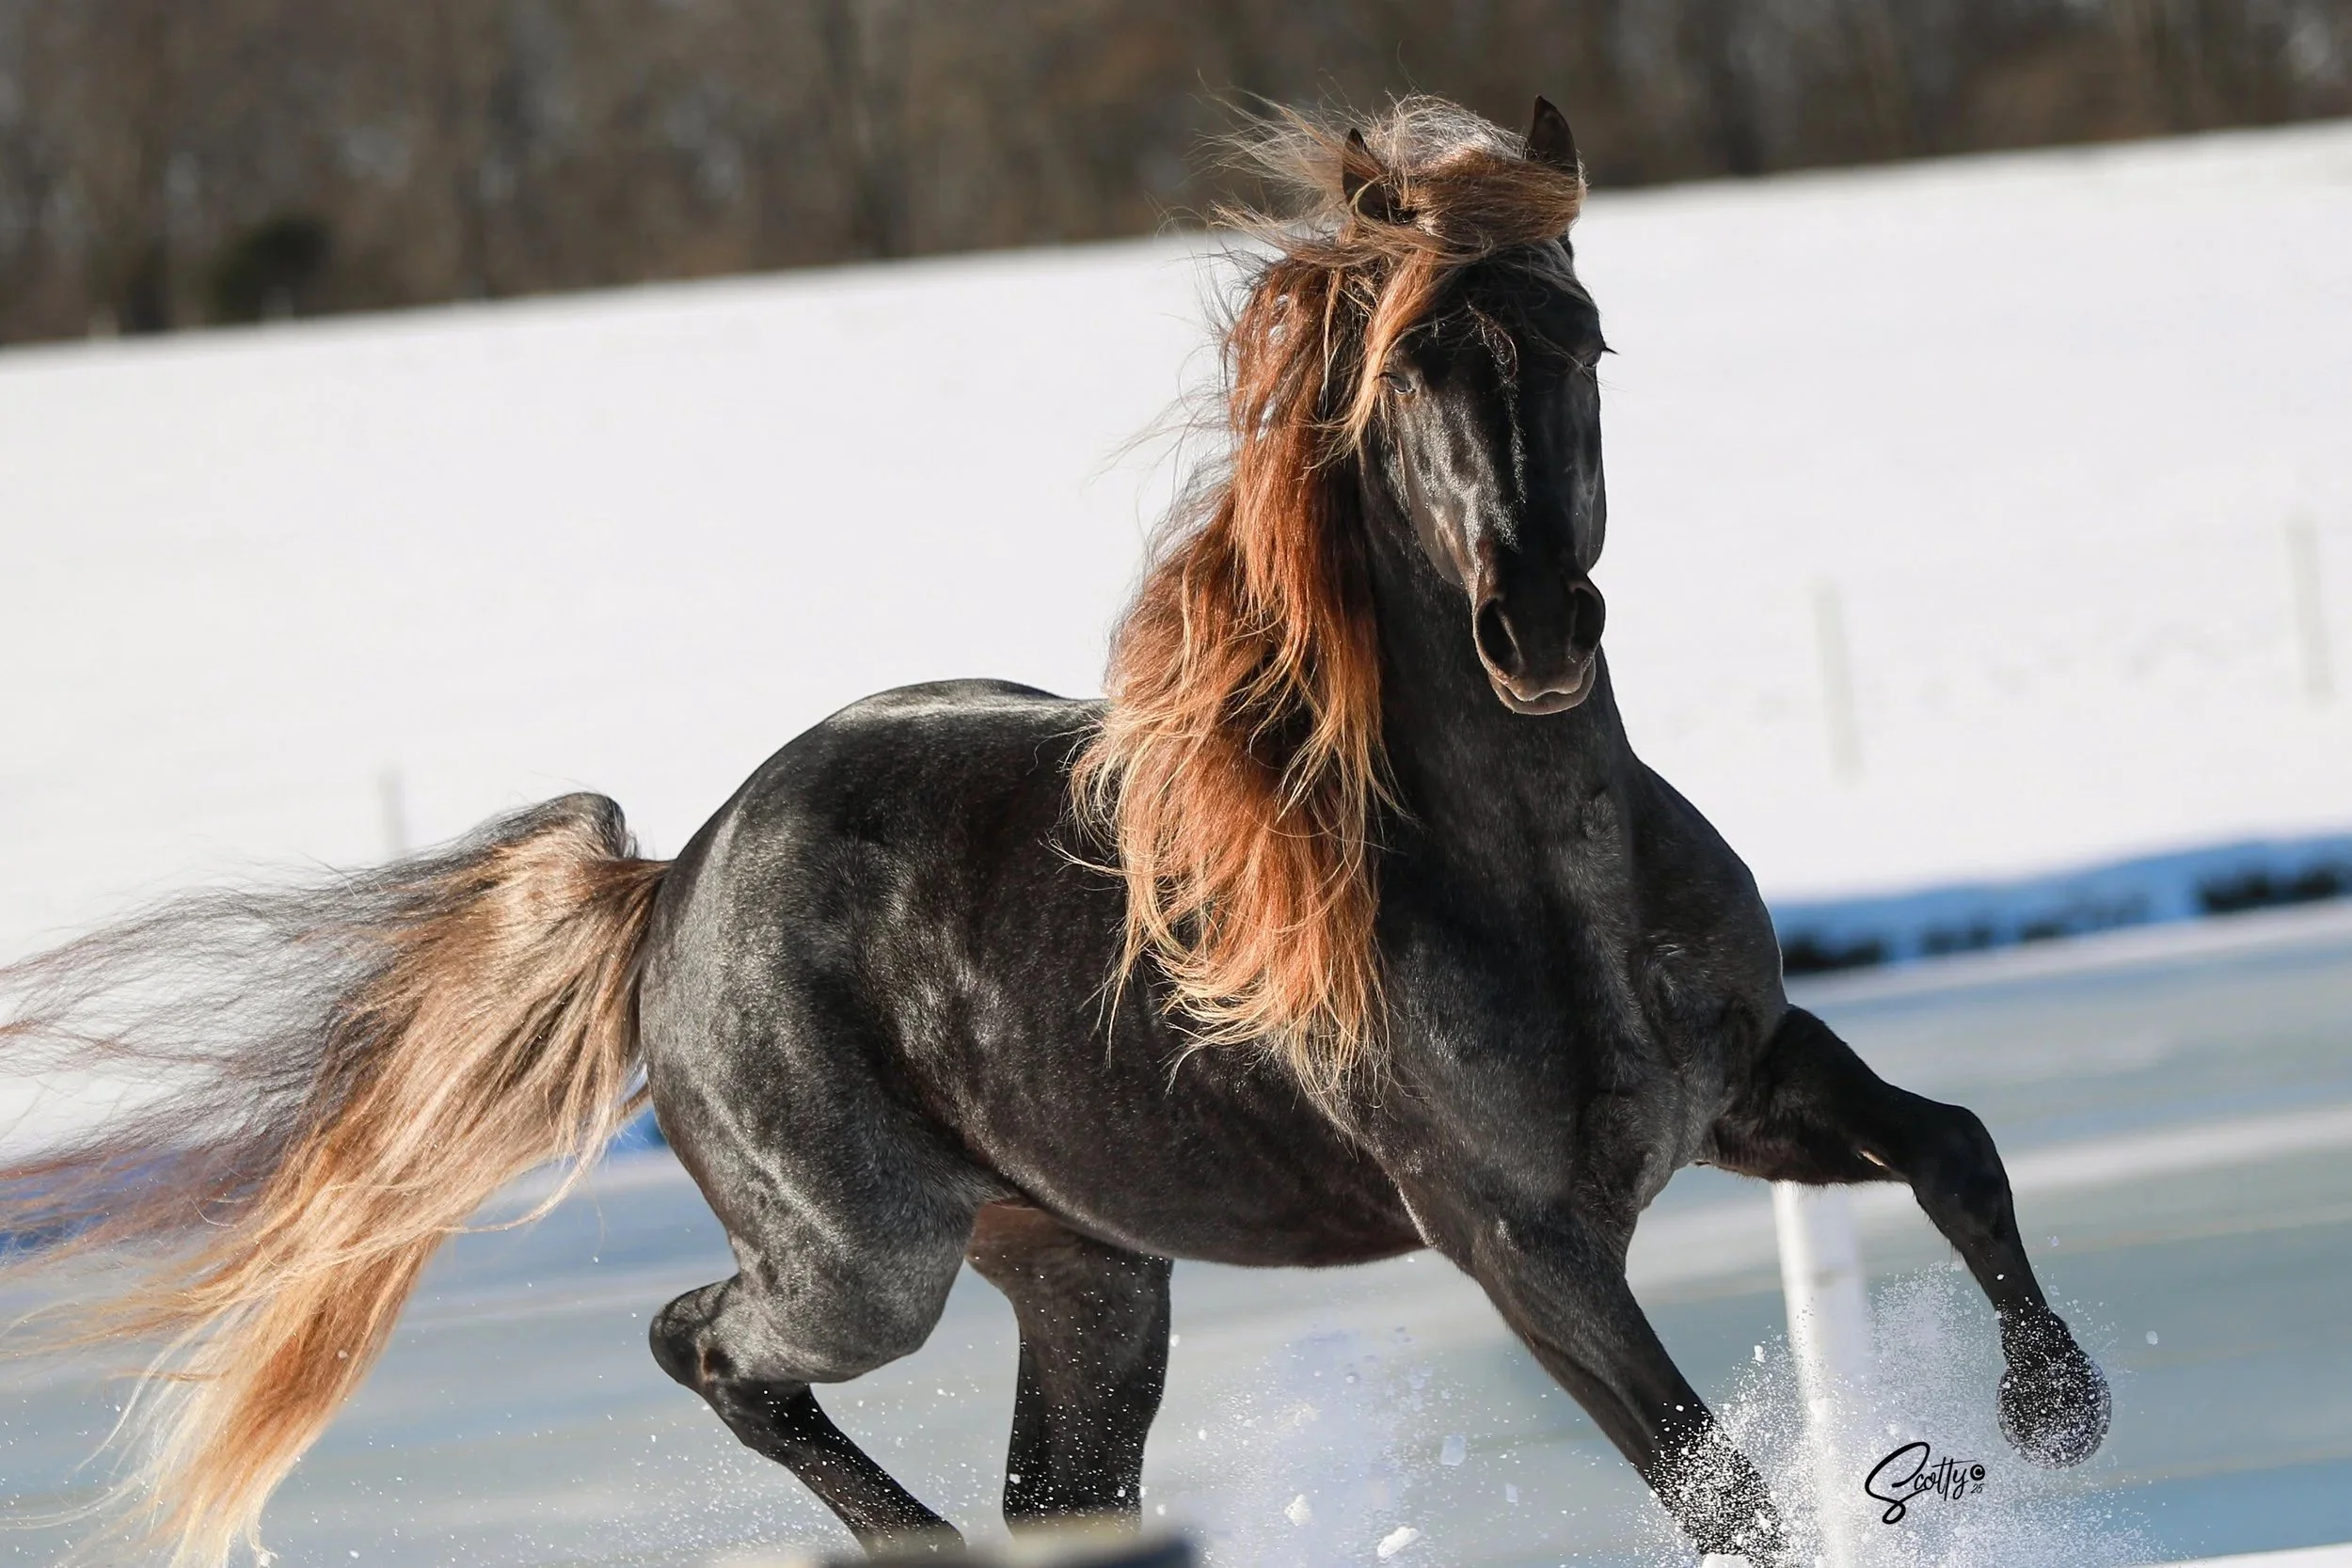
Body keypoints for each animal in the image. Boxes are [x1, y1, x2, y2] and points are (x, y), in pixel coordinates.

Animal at [0, 96, 2108, 1566]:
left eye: (1579, 340)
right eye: (1409, 370)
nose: (1535, 630)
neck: (1541, 886)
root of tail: (676, 881)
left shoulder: (1742, 1084)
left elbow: (1957, 1147)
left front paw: (2057, 1411)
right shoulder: (1518, 1235)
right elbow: (1713, 1480)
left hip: (1089, 1280)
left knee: (1051, 1488)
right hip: (869, 1268)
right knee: (706, 1344)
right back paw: (904, 1534)